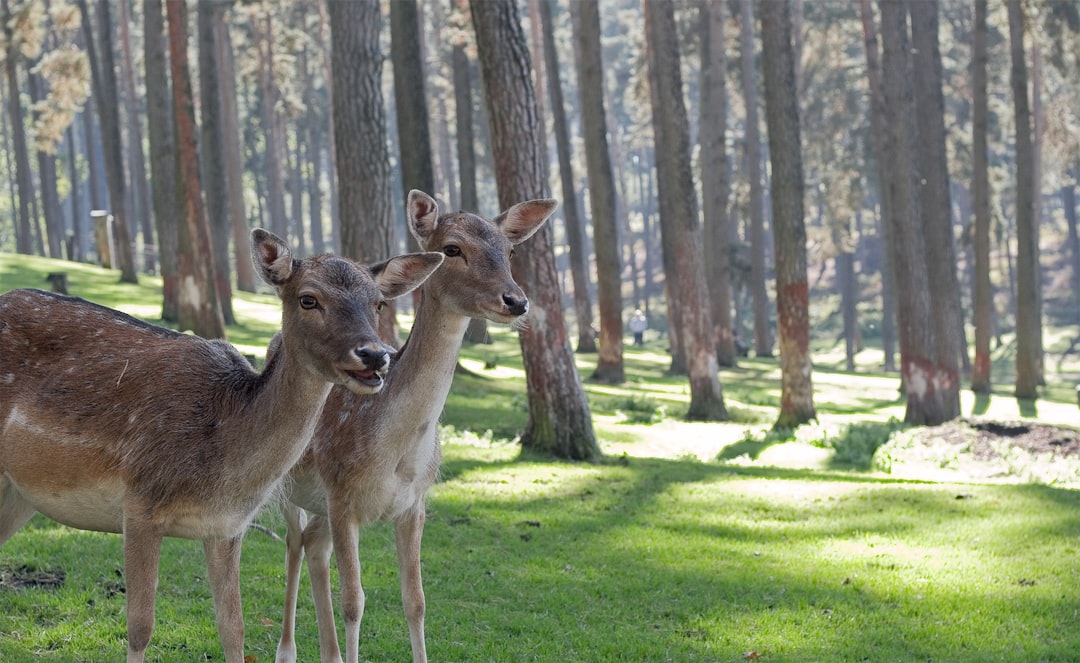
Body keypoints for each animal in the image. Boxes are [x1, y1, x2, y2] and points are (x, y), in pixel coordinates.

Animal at [0, 229, 444, 663]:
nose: (374, 355)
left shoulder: (227, 527)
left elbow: (234, 631)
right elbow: (140, 628)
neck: (223, 461)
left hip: (18, 493)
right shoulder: (139, 502)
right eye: (308, 298)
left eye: (379, 303)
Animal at [276, 191, 557, 663]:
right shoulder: (341, 493)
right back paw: (286, 650)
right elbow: (354, 601)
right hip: (284, 482)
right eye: (452, 249)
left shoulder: (414, 502)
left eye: (511, 251)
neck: (396, 453)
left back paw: (329, 653)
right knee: (294, 544)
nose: (516, 301)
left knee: (313, 545)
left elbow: (417, 601)